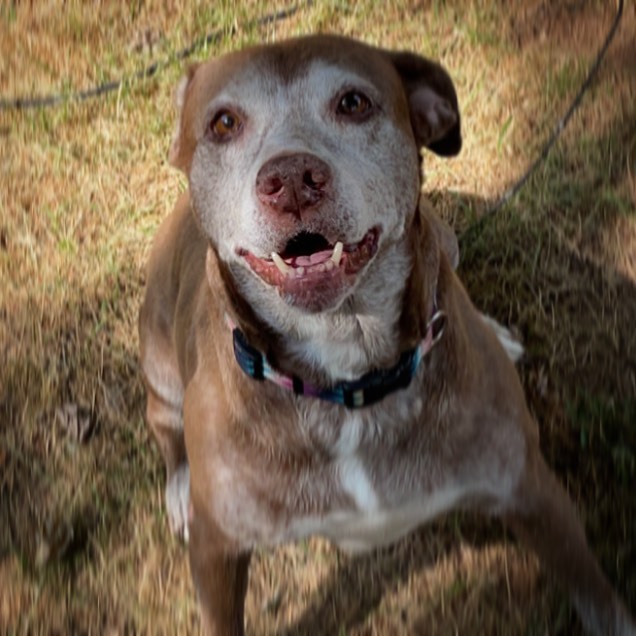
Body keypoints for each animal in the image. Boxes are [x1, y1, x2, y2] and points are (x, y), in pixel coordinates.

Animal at [140, 36, 636, 636]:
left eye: (353, 102)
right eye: (224, 123)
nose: (292, 179)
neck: (348, 374)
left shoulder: (530, 490)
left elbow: (597, 594)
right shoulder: (217, 551)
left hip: (448, 239)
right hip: (159, 366)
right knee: (164, 425)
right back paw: (180, 489)